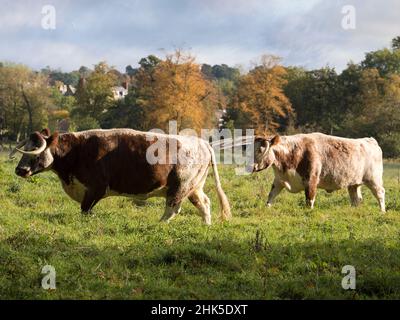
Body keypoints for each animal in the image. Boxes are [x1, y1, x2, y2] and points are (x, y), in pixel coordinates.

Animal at [10, 128, 231, 225]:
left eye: (36, 152)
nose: (19, 170)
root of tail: (202, 143)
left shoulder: (95, 188)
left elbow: (85, 210)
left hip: (180, 186)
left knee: (173, 208)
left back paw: (157, 225)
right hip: (194, 187)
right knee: (204, 203)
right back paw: (206, 225)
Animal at [250, 131, 384, 211]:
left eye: (261, 150)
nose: (250, 166)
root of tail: (369, 140)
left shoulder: (311, 180)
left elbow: (309, 200)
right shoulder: (279, 180)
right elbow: (271, 196)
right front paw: (267, 208)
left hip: (374, 179)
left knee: (380, 193)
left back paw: (382, 211)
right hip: (353, 183)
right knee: (356, 199)